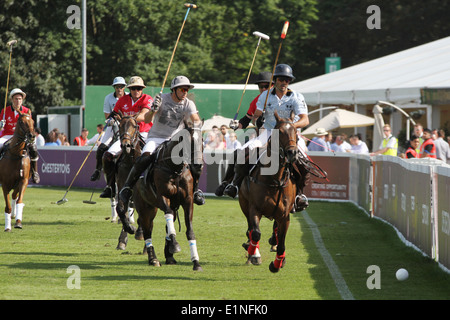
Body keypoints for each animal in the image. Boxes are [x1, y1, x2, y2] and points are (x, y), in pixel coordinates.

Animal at [119, 126, 204, 272]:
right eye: (190, 142)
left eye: (203, 141)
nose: (199, 166)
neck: (174, 168)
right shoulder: (163, 197)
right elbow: (168, 215)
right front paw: (175, 244)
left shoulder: (187, 200)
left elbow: (189, 230)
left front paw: (196, 262)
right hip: (145, 208)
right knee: (147, 230)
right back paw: (153, 259)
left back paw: (169, 256)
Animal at [239, 110, 298, 272]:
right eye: (280, 132)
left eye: (296, 131)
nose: (292, 152)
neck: (275, 180)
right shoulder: (254, 208)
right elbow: (255, 233)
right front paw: (253, 253)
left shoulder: (285, 216)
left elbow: (282, 243)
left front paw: (277, 264)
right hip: (244, 205)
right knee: (250, 230)